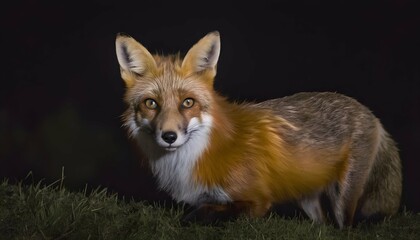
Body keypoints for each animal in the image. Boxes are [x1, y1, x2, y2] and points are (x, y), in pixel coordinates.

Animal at [115, 31, 404, 228]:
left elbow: (206, 213)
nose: (169, 136)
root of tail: (370, 112)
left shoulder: (256, 201)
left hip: (344, 197)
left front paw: (186, 220)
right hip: (307, 199)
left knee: (345, 227)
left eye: (188, 102)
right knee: (321, 224)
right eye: (151, 103)